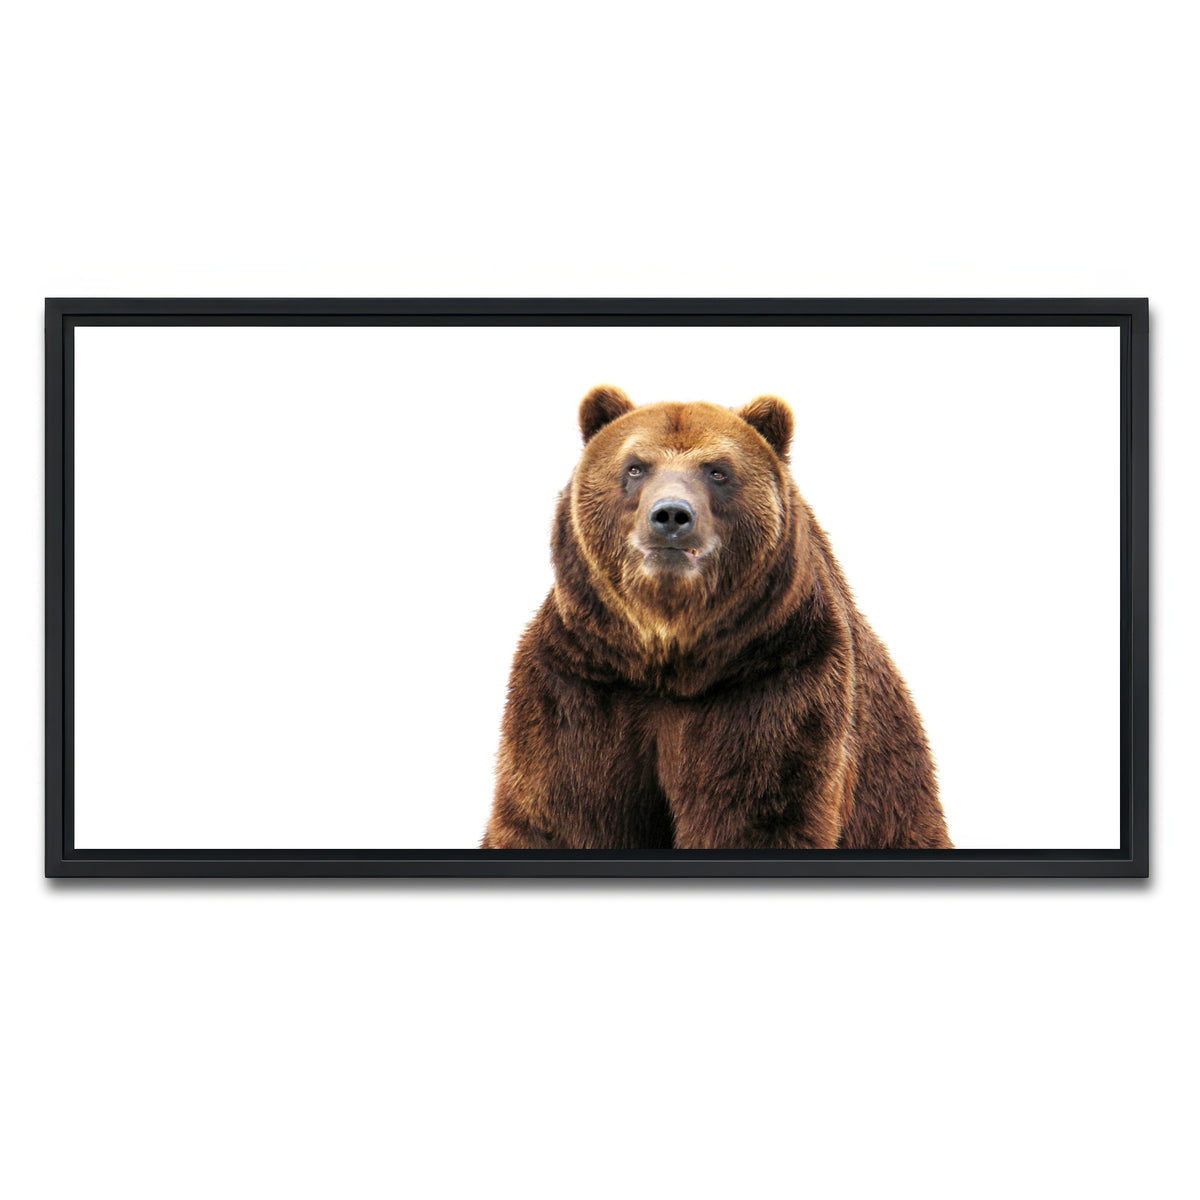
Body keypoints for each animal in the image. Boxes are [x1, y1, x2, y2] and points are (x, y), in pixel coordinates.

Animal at [481, 385, 952, 851]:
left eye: (717, 471)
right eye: (635, 467)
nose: (671, 515)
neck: (670, 658)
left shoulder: (775, 679)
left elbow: (758, 811)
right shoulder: (582, 679)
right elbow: (560, 811)